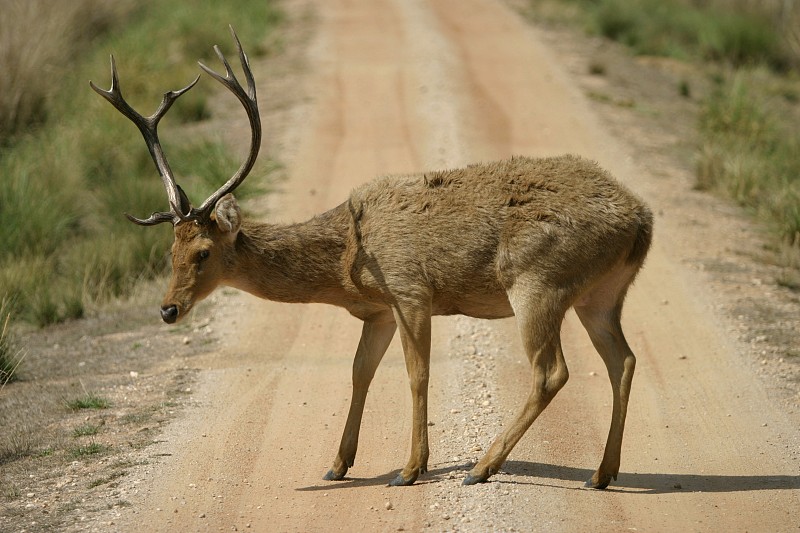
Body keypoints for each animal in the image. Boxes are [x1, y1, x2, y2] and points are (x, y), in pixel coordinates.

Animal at [90, 28, 652, 486]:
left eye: (203, 251)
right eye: (169, 251)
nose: (168, 309)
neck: (347, 264)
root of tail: (642, 219)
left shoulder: (410, 290)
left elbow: (417, 374)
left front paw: (410, 468)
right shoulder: (378, 311)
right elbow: (360, 372)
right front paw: (338, 464)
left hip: (538, 281)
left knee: (551, 371)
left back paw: (482, 467)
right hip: (602, 294)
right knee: (622, 359)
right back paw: (601, 473)